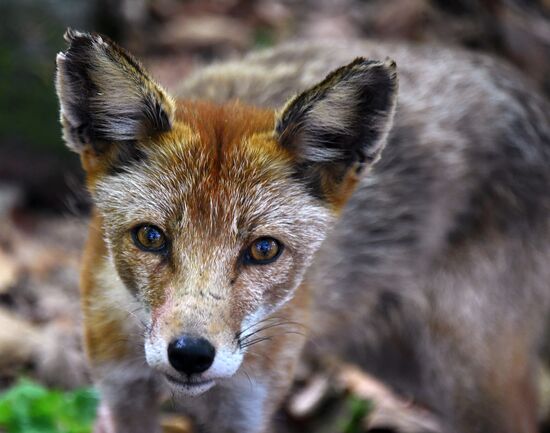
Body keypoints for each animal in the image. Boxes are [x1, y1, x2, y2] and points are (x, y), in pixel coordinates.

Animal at [55, 27, 550, 432]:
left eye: (264, 249)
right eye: (151, 237)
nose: (191, 354)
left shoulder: (247, 407)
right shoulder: (121, 392)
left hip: (466, 375)